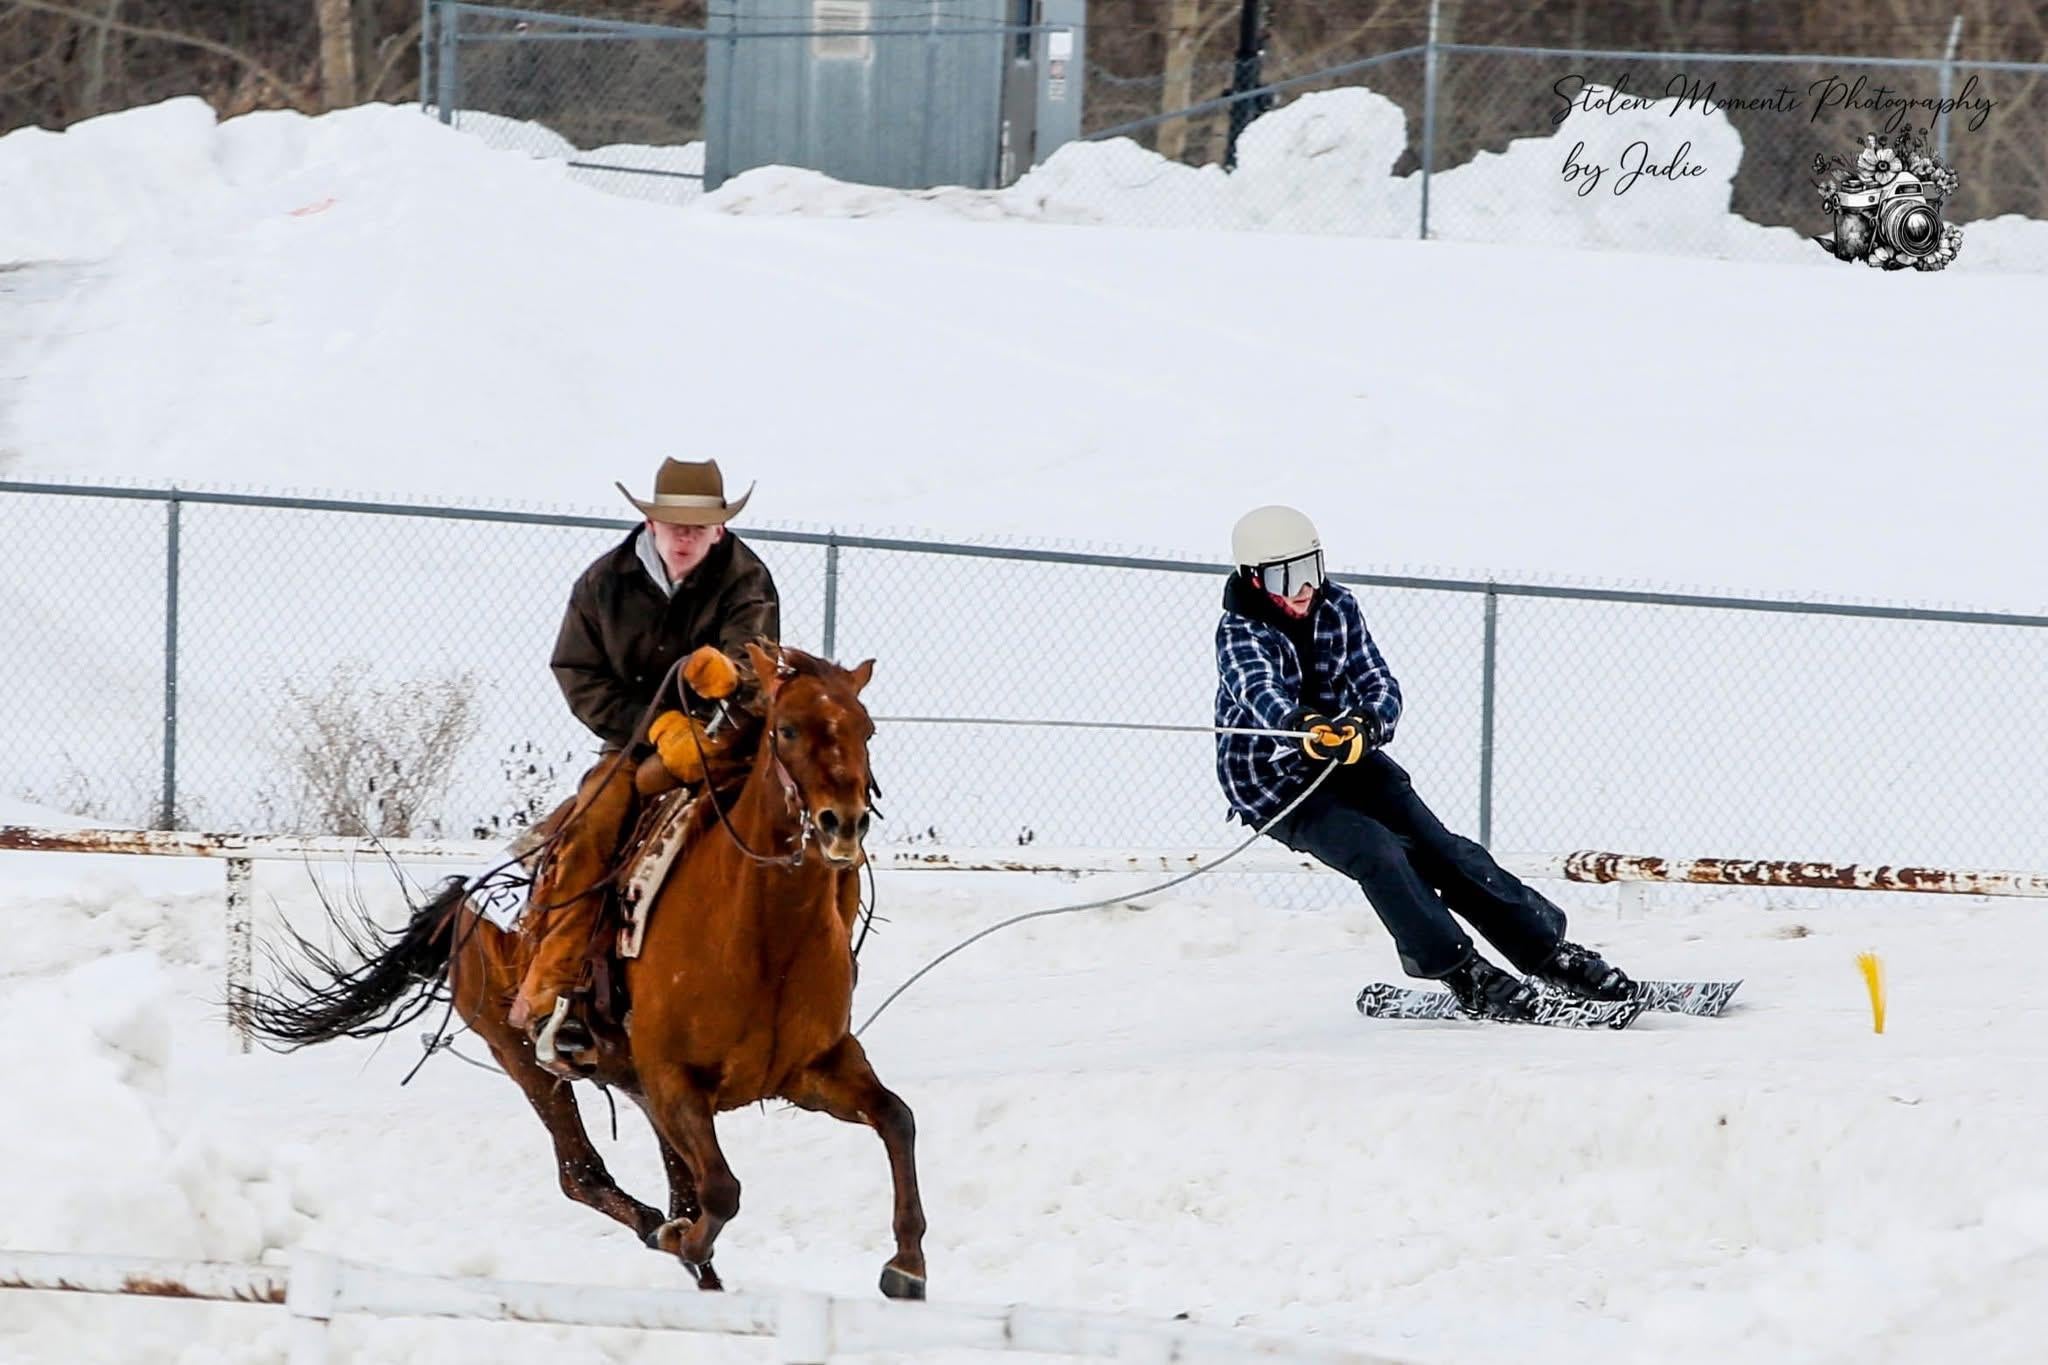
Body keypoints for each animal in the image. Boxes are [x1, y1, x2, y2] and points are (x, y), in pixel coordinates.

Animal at [241, 643, 927, 1298]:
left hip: (629, 1079)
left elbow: (897, 1118)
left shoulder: (813, 1068)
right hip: (521, 1053)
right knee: (583, 1173)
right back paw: (660, 1230)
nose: (844, 823)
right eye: (785, 729)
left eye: (866, 728)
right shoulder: (675, 1078)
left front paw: (907, 1266)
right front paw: (681, 1238)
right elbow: (722, 1189)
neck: (763, 937)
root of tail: (465, 898)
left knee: (668, 1181)